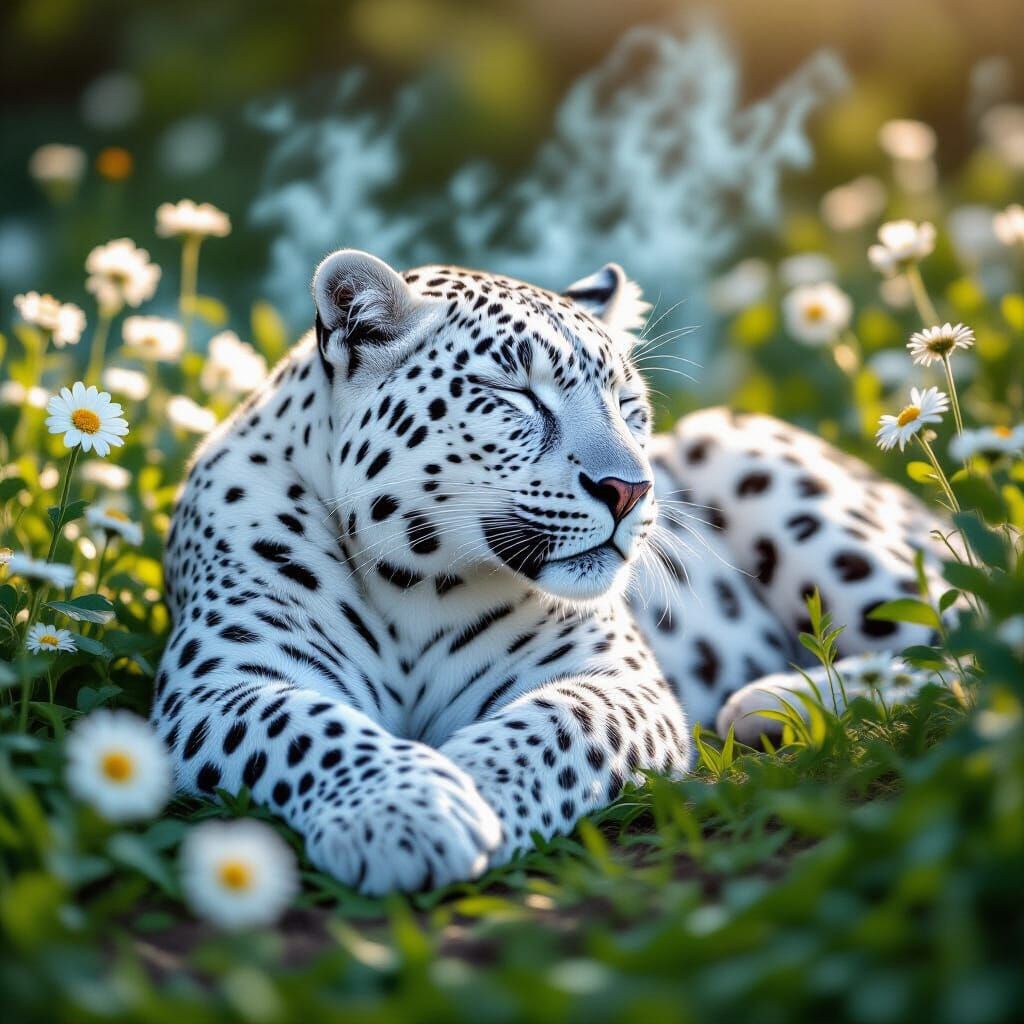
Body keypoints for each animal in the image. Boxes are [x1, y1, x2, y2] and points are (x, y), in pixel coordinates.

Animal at [152, 250, 946, 894]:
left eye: (629, 407)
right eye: (515, 397)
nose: (631, 489)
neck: (415, 582)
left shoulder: (623, 680)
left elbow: (557, 724)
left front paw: (470, 790)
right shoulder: (217, 684)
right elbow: (306, 726)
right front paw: (404, 812)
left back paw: (770, 703)